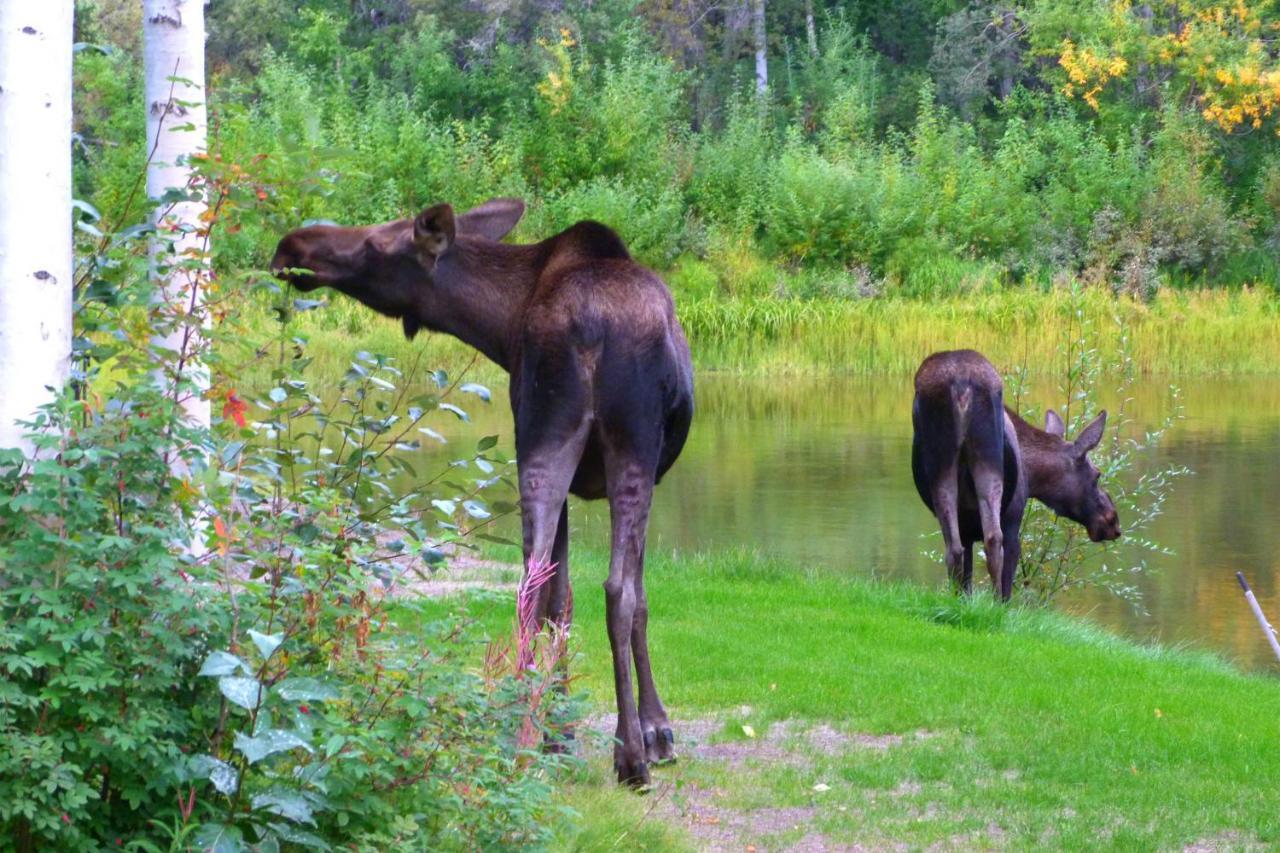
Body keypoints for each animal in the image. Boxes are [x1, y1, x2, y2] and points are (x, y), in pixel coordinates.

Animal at [267, 199, 691, 783]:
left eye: (376, 243)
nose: (291, 247)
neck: (502, 328)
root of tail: (588, 329)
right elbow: (616, 597)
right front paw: (645, 731)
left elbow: (565, 596)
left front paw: (571, 731)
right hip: (616, 444)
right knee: (608, 589)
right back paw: (614, 753)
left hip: (557, 438)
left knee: (543, 586)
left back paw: (538, 740)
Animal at [911, 348, 1121, 596]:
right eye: (1097, 475)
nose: (1113, 522)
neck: (1032, 475)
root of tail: (961, 385)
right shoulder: (1013, 520)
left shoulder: (967, 530)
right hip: (989, 465)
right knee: (993, 539)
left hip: (941, 467)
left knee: (953, 549)